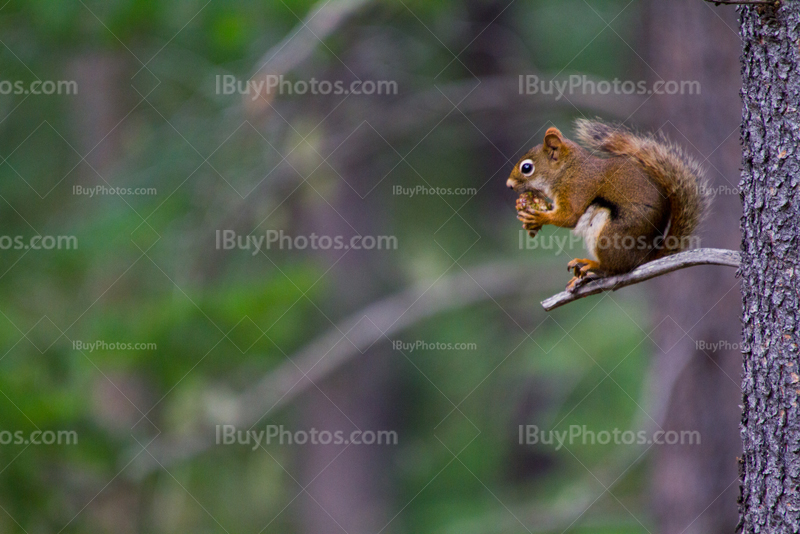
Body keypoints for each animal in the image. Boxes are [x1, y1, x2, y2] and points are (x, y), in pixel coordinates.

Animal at [510, 120, 708, 294]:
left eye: (526, 168)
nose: (508, 185)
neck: (568, 170)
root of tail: (644, 258)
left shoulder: (578, 188)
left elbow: (569, 216)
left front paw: (538, 217)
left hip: (612, 233)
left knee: (614, 269)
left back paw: (591, 264)